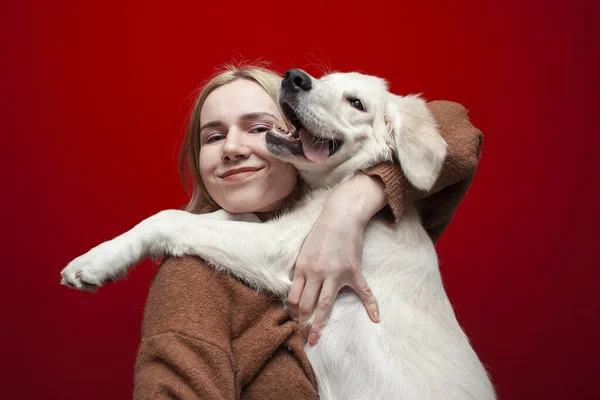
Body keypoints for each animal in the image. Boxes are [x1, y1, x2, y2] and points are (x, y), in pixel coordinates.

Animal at [61, 70, 494, 398]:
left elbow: (171, 219)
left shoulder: (281, 249)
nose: (295, 77)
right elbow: (231, 212)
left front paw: (95, 262)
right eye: (324, 78)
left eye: (356, 103)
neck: (338, 184)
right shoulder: (273, 228)